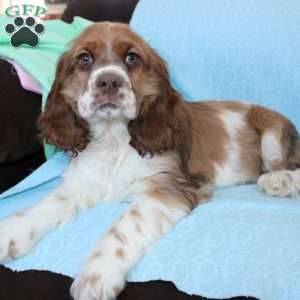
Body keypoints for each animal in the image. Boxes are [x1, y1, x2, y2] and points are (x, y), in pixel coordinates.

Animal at [0, 21, 300, 300]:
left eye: (132, 58)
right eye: (84, 59)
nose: (109, 81)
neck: (113, 139)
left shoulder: (169, 187)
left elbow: (125, 224)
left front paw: (97, 273)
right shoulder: (82, 183)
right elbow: (43, 206)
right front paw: (8, 233)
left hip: (272, 134)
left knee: (291, 165)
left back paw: (278, 181)